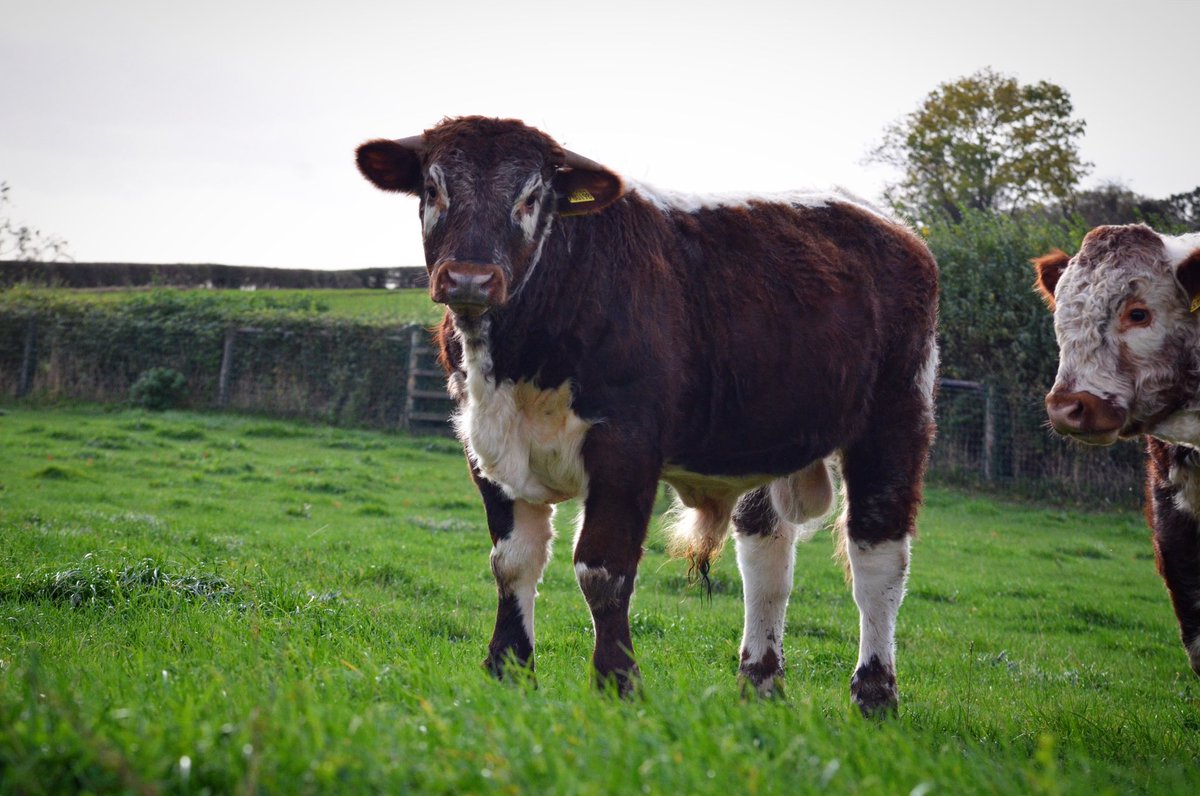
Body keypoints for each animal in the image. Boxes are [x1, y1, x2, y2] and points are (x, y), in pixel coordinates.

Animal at [356, 116, 939, 715]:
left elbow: (603, 570)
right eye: (432, 188)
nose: (470, 278)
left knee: (878, 560)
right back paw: (760, 685)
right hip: (763, 439)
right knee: (767, 559)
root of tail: (893, 228)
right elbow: (512, 561)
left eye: (532, 196)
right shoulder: (486, 446)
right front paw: (509, 673)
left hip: (896, 418)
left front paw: (617, 682)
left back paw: (875, 696)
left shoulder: (626, 447)